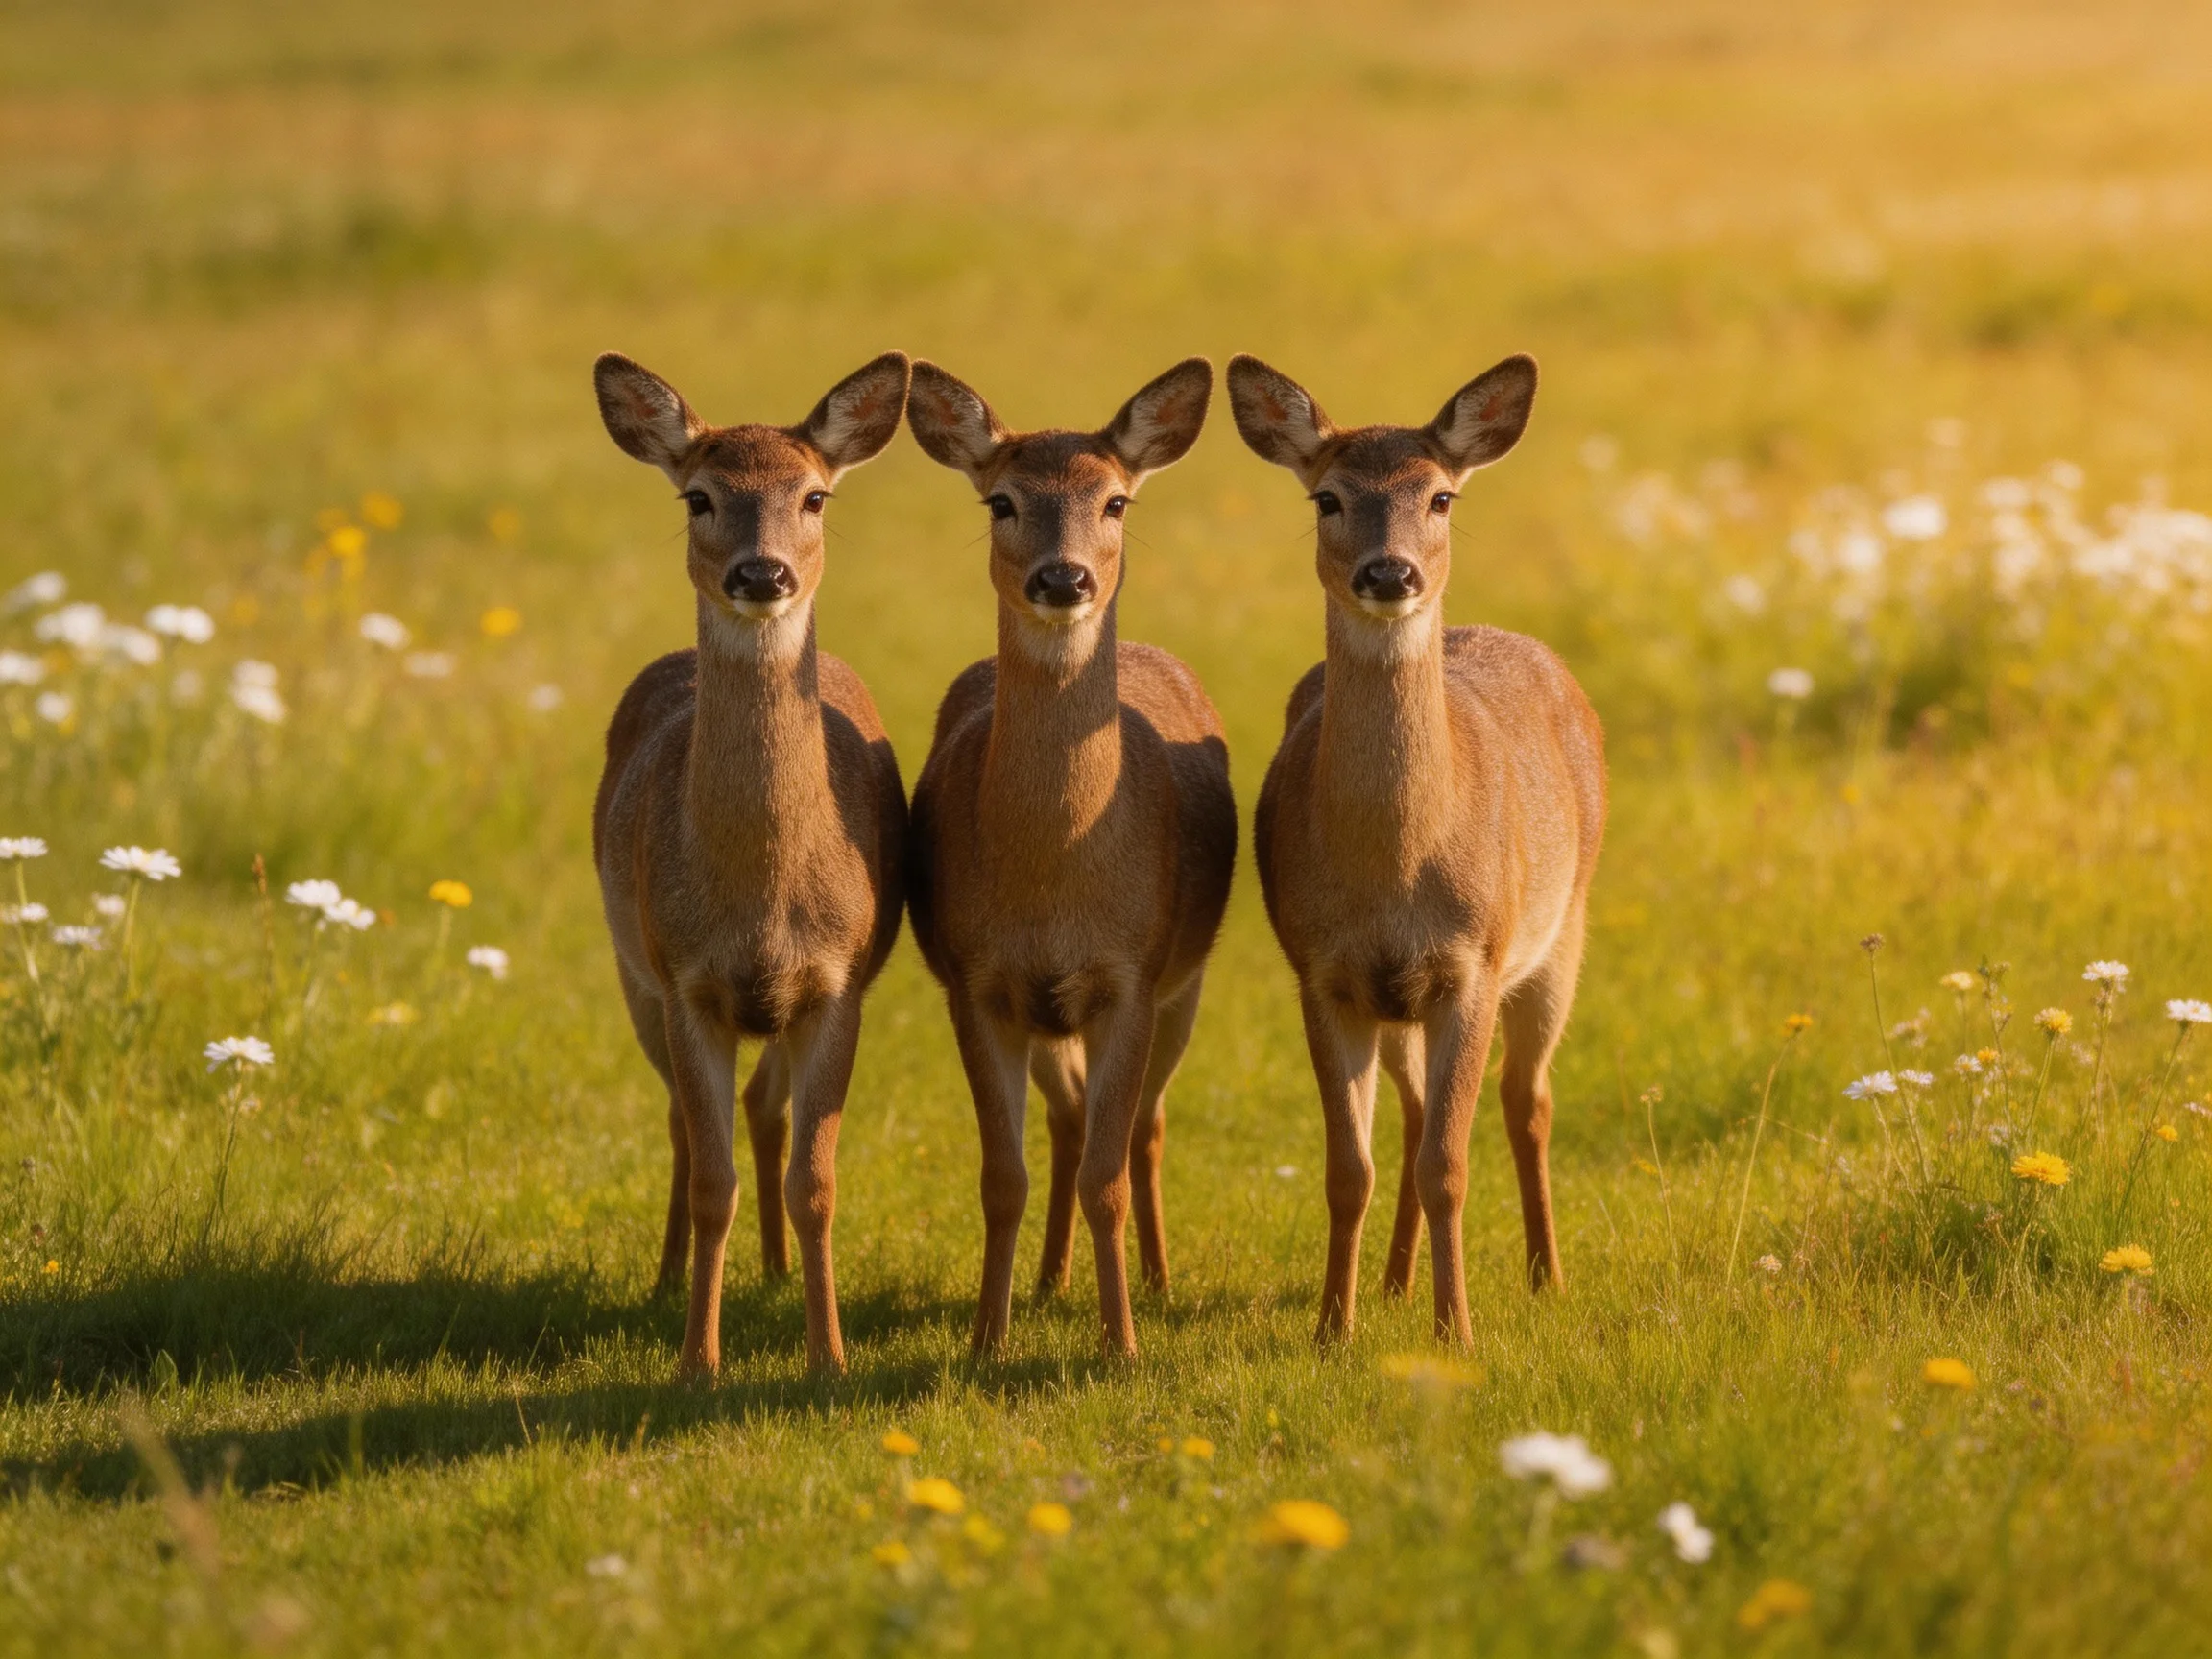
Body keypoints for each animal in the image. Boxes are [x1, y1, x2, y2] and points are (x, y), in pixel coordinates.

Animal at [590, 349, 912, 1377]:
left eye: (814, 496)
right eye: (699, 495)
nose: (761, 571)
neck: (762, 903)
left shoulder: (839, 981)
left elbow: (817, 1179)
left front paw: (829, 1359)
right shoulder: (685, 978)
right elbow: (711, 1179)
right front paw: (697, 1361)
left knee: (763, 1110)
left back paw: (773, 1273)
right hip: (633, 972)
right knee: (684, 1125)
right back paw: (665, 1284)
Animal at [903, 358, 1238, 1360]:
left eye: (1116, 501)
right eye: (1002, 500)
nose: (1065, 576)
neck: (1054, 880)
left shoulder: (1132, 974)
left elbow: (1109, 1177)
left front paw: (1120, 1345)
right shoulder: (976, 981)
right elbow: (1000, 1177)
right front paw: (987, 1341)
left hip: (1184, 983)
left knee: (1142, 1127)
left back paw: (1156, 1285)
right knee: (1069, 1117)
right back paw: (1051, 1281)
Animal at [1226, 352, 1606, 1347]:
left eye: (1439, 496)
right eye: (1327, 497)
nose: (1389, 571)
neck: (1394, 869)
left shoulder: (1473, 962)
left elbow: (1449, 1165)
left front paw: (1457, 1332)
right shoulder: (1323, 971)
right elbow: (1346, 1168)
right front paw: (1334, 1329)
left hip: (1561, 936)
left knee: (1527, 1099)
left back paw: (1547, 1276)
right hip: (1402, 1002)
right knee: (1411, 1112)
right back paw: (1396, 1283)